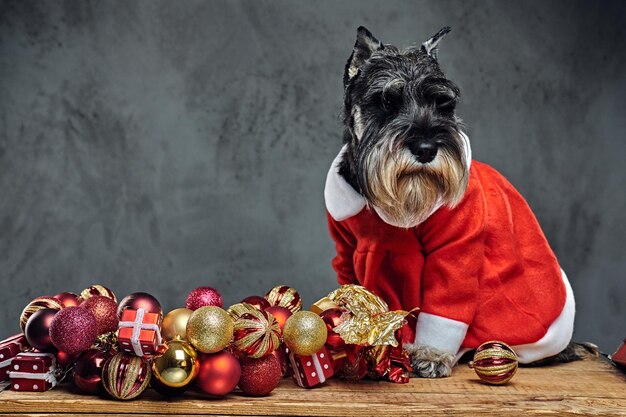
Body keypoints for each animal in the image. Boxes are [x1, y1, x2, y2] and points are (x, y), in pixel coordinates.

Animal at [324, 26, 576, 376]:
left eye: (443, 104)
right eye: (386, 101)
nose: (426, 148)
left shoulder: (456, 251)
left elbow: (446, 305)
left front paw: (431, 355)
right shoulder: (346, 252)